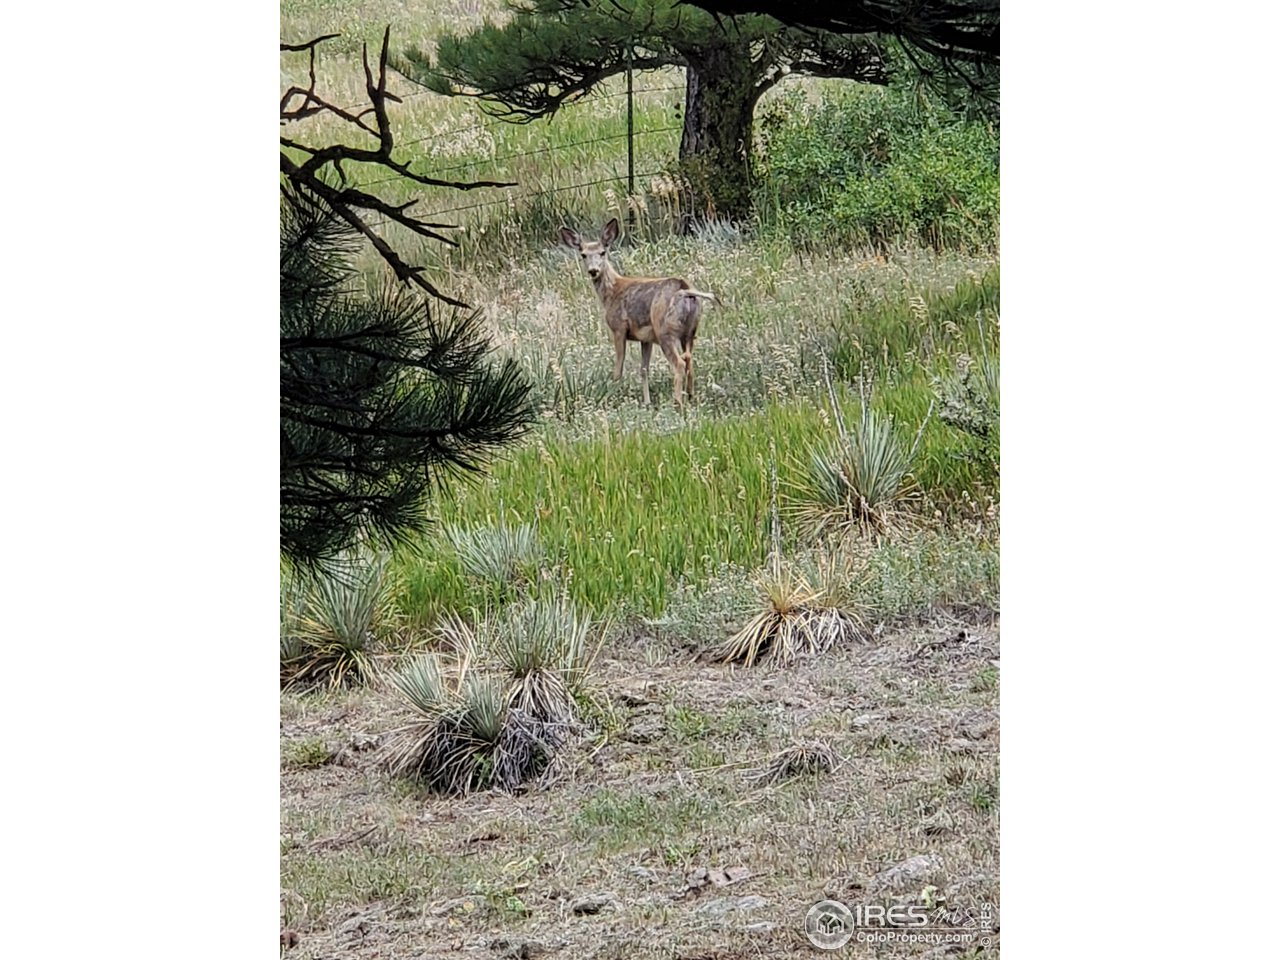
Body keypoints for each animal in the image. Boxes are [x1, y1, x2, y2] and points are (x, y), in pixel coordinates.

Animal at [559, 217, 716, 408]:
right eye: (583, 254)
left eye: (602, 252)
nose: (593, 270)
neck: (612, 292)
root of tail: (685, 289)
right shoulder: (645, 338)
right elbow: (643, 369)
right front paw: (647, 402)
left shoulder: (618, 328)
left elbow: (618, 369)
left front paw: (612, 398)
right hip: (690, 332)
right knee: (689, 360)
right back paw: (691, 398)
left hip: (665, 330)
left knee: (679, 363)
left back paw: (677, 403)